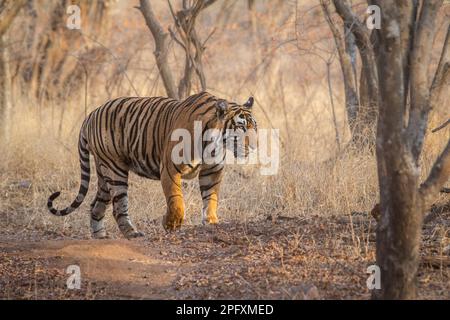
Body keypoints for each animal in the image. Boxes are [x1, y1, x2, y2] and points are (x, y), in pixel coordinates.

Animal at [47, 91, 258, 239]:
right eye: (241, 127)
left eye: (254, 127)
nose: (255, 146)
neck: (213, 143)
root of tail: (90, 114)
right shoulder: (170, 168)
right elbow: (176, 200)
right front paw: (171, 224)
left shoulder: (212, 170)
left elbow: (211, 197)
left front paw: (211, 221)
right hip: (115, 169)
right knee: (118, 206)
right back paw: (132, 233)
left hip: (103, 171)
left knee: (96, 205)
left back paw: (100, 236)